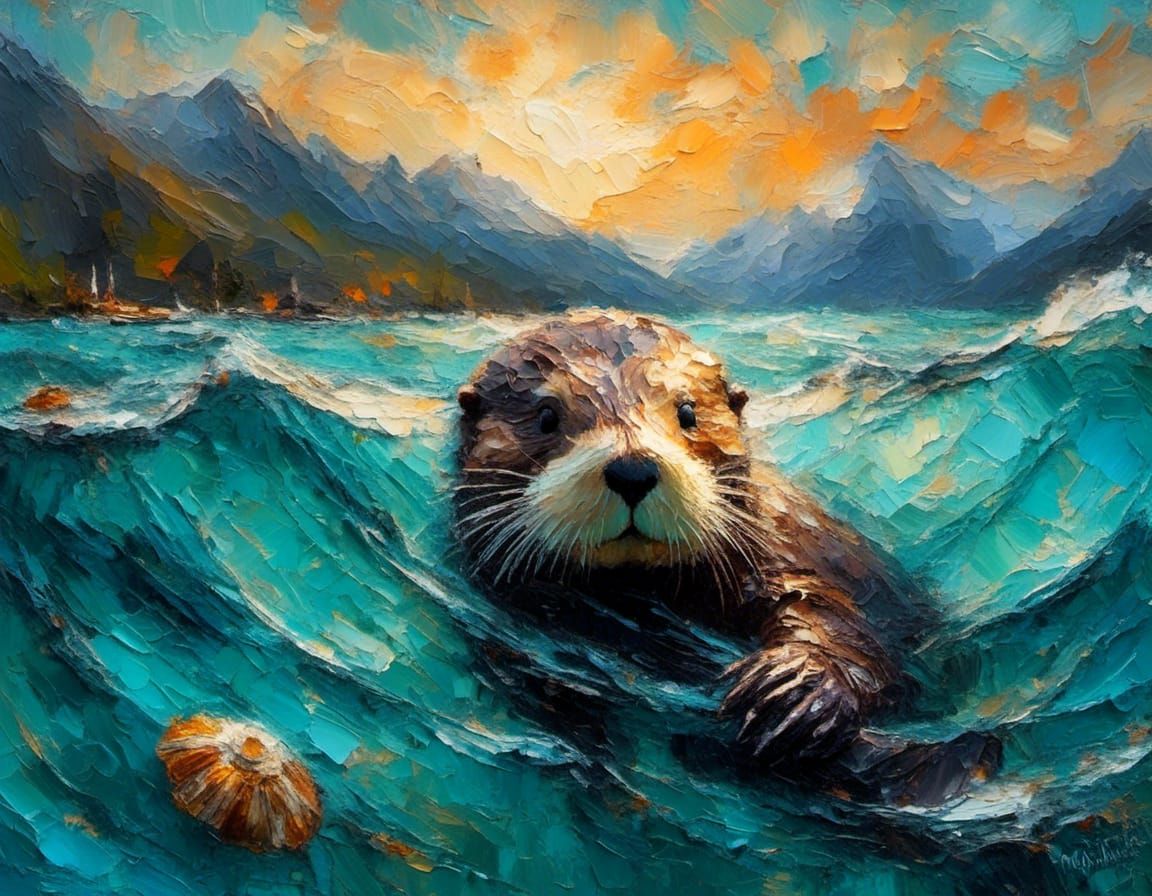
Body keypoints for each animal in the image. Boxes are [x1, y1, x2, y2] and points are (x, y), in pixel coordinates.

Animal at [454, 311, 998, 800]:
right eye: (546, 417)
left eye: (688, 413)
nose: (633, 470)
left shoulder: (780, 554)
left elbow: (833, 616)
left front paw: (796, 689)